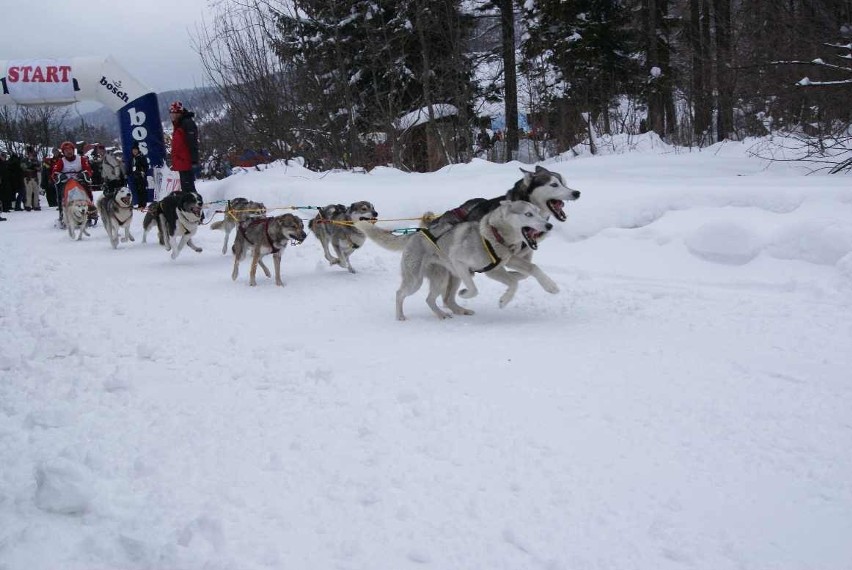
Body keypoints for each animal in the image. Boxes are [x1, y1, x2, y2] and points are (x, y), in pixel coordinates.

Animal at [356, 201, 556, 320]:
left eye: (539, 213)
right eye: (528, 214)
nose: (549, 225)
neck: (493, 236)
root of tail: (416, 234)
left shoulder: (503, 263)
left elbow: (531, 269)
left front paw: (551, 286)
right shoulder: (461, 263)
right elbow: (479, 288)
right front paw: (499, 299)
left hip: (445, 278)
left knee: (435, 299)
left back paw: (452, 312)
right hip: (418, 281)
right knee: (400, 294)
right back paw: (400, 316)